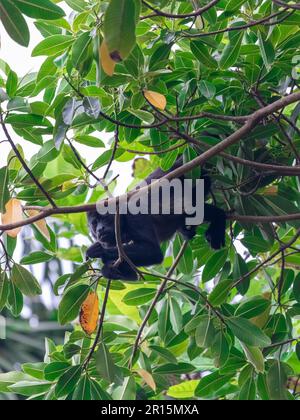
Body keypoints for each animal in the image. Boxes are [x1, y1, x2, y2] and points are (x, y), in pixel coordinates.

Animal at [86, 159, 225, 280]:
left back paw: (218, 222)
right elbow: (133, 275)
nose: (99, 229)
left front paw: (99, 251)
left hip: (195, 176)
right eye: (94, 224)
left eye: (105, 218)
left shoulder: (134, 215)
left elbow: (153, 251)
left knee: (193, 207)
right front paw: (108, 270)